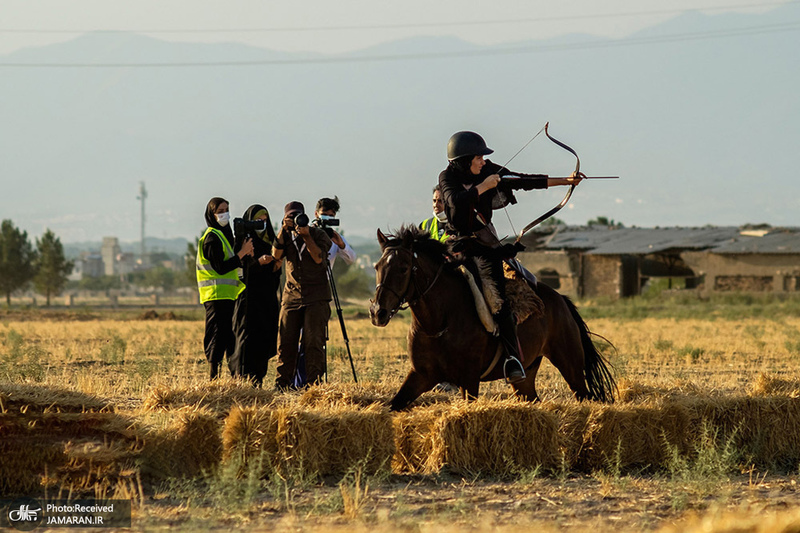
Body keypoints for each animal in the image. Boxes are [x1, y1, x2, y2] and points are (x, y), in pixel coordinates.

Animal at [372, 227, 616, 410]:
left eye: (404, 268)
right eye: (377, 266)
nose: (377, 312)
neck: (439, 323)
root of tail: (560, 299)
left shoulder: (469, 379)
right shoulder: (420, 375)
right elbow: (394, 405)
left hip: (570, 364)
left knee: (583, 395)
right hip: (527, 376)